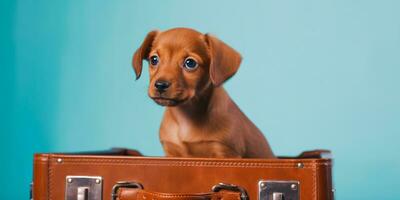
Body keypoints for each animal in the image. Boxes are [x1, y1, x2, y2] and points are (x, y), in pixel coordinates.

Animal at [133, 27, 274, 158]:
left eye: (190, 63)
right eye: (154, 59)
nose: (160, 85)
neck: (186, 117)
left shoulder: (225, 153)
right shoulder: (171, 153)